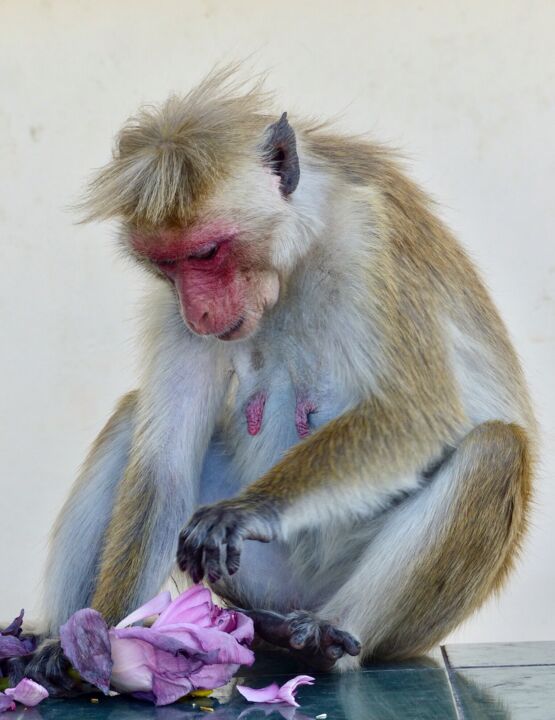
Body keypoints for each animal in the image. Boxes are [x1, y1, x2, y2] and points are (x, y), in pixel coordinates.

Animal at [16, 69, 536, 692]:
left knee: (496, 450)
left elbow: (416, 413)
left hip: (384, 611)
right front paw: (101, 637)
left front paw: (249, 510)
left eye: (206, 252)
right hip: (259, 580)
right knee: (132, 419)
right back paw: (65, 638)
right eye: (166, 265)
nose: (199, 314)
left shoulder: (372, 238)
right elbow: (165, 467)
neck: (298, 253)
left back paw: (321, 641)